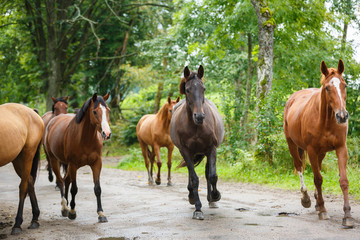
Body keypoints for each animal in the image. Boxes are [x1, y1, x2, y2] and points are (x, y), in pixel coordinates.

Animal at [0, 103, 44, 234]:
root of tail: (32, 112)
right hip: (17, 159)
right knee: (30, 181)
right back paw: (34, 218)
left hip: (27, 155)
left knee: (23, 187)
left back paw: (17, 224)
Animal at [44, 93, 111, 222]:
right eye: (95, 111)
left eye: (108, 110)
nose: (107, 133)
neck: (85, 139)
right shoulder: (73, 164)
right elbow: (74, 189)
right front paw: (72, 212)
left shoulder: (97, 163)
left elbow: (97, 189)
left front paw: (101, 213)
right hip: (54, 160)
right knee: (61, 181)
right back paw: (65, 207)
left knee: (66, 180)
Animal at [169, 65, 225, 219]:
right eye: (188, 89)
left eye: (203, 88)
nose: (199, 116)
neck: (195, 126)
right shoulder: (186, 151)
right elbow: (194, 179)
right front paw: (198, 209)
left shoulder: (211, 148)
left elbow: (212, 176)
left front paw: (215, 195)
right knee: (191, 173)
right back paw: (192, 197)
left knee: (207, 173)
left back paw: (211, 200)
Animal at [282, 59, 352, 228]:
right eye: (327, 87)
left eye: (344, 85)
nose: (342, 116)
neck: (326, 120)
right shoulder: (312, 150)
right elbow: (318, 179)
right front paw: (323, 211)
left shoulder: (341, 148)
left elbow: (343, 181)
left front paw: (347, 215)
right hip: (292, 144)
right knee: (299, 166)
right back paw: (306, 198)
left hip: (322, 152)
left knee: (317, 168)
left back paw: (316, 200)